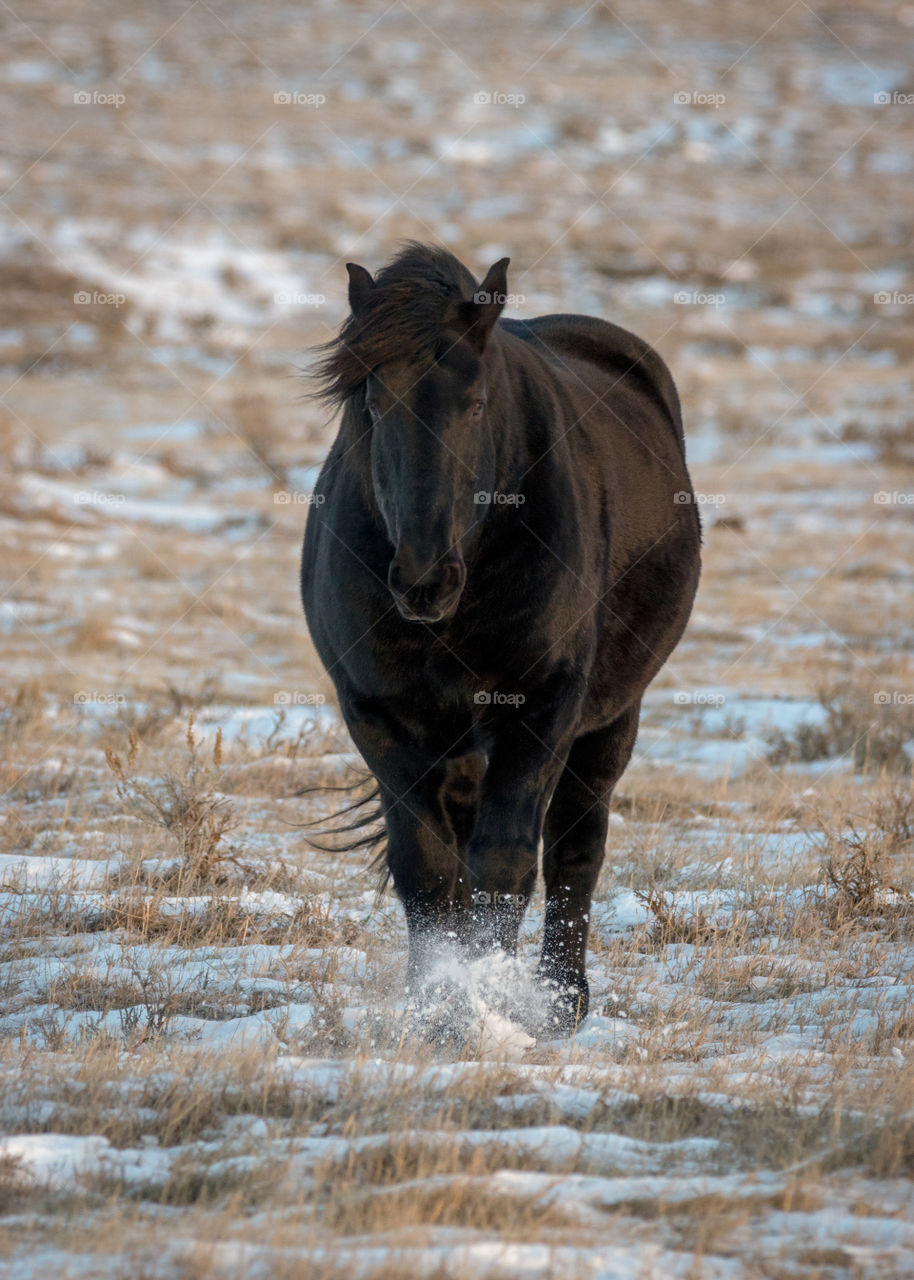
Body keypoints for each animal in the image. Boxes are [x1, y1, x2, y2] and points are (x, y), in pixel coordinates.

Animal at [299, 244, 696, 1034]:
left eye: (476, 404)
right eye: (373, 404)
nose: (424, 580)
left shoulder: (542, 706)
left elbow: (506, 866)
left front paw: (492, 1003)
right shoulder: (378, 715)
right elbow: (427, 871)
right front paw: (440, 1006)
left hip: (609, 722)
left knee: (576, 846)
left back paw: (563, 1001)